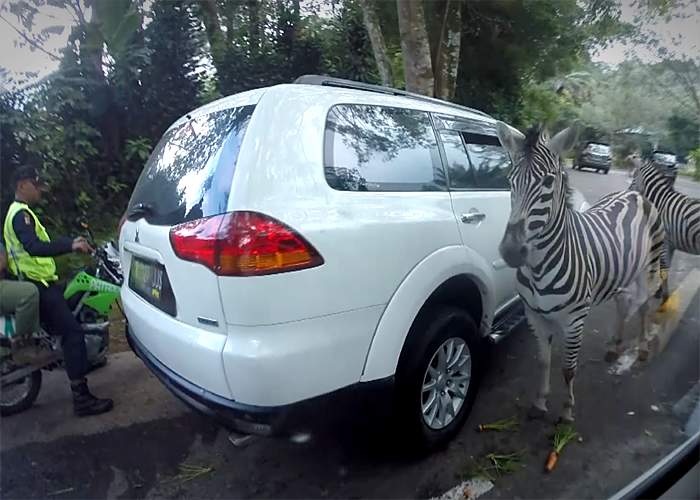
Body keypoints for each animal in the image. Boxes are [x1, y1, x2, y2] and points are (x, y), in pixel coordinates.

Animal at [494, 121, 664, 422]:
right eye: (510, 180)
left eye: (548, 182)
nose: (512, 251)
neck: (538, 270)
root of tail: (633, 193)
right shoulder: (535, 316)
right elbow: (543, 361)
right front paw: (539, 403)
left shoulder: (575, 322)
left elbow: (568, 368)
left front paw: (566, 411)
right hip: (623, 271)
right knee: (623, 303)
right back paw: (614, 347)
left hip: (649, 266)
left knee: (644, 304)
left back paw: (643, 349)